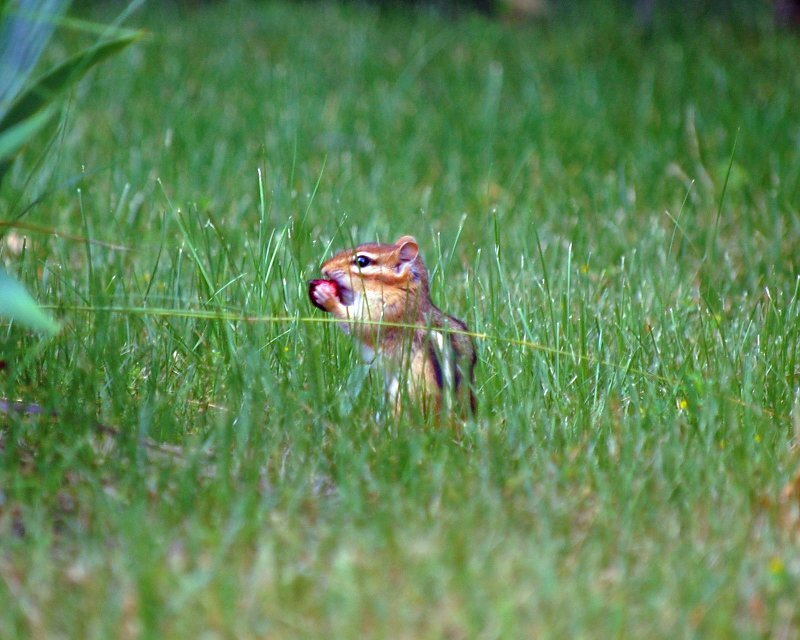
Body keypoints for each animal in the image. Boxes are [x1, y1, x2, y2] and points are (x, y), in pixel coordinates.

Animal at [309, 235, 477, 417]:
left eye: (362, 261)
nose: (324, 268)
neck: (400, 289)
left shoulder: (386, 311)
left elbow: (358, 323)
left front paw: (327, 297)